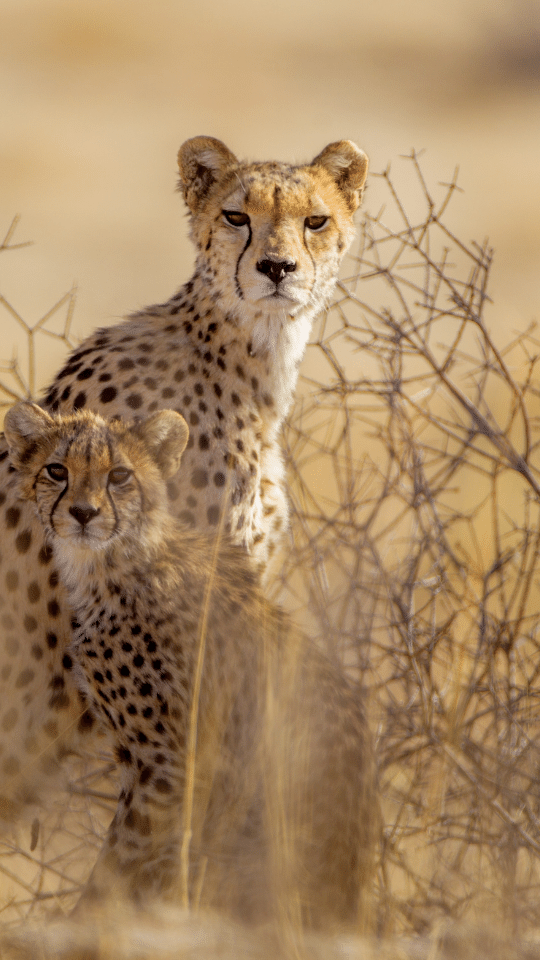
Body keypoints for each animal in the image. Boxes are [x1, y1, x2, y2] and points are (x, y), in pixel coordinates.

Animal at [3, 401, 378, 931]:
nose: (83, 513)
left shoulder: (172, 764)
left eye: (119, 475)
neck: (112, 563)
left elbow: (120, 861)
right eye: (57, 470)